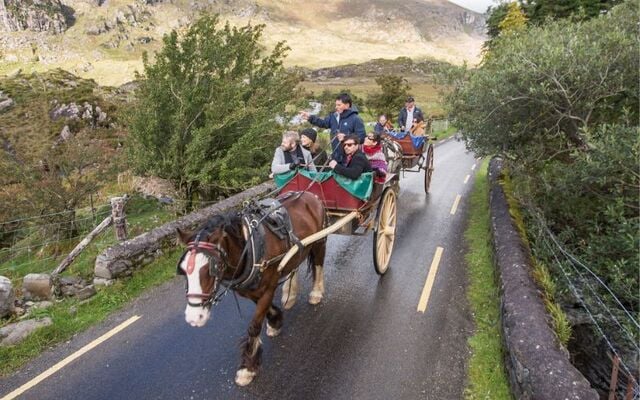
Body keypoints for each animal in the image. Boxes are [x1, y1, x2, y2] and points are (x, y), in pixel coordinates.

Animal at [175, 192, 324, 386]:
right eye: (183, 270)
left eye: (212, 268)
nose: (194, 318)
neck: (248, 246)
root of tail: (309, 194)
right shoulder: (250, 290)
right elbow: (266, 311)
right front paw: (275, 321)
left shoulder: (268, 287)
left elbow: (254, 326)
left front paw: (247, 367)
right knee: (294, 262)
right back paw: (289, 294)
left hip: (320, 240)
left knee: (319, 264)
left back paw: (316, 292)